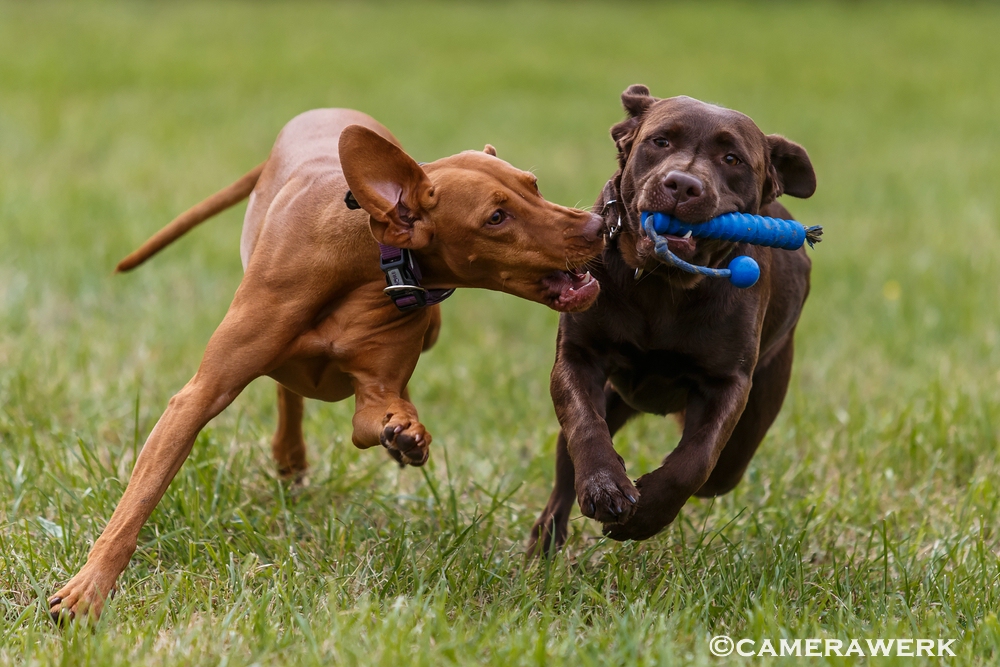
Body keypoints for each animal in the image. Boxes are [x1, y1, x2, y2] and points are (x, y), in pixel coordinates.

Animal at [48, 107, 600, 624]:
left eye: (533, 185)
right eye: (496, 218)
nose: (600, 224)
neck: (364, 261)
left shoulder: (373, 394)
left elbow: (376, 413)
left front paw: (405, 432)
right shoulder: (198, 395)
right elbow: (138, 501)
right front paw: (87, 590)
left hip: (431, 329)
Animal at [528, 86, 816, 556]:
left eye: (732, 159)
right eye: (660, 141)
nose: (681, 184)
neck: (662, 284)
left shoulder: (727, 384)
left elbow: (695, 460)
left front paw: (646, 516)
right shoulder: (578, 355)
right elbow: (585, 425)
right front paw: (607, 485)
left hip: (749, 430)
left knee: (718, 473)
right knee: (566, 465)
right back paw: (545, 544)